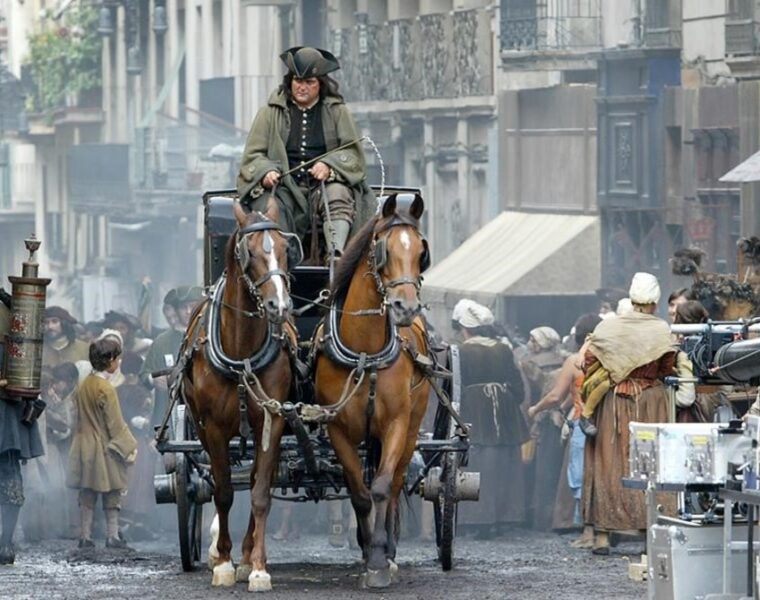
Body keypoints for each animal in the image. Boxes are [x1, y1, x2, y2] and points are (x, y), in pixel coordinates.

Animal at [183, 198, 302, 592]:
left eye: (283, 248)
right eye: (248, 252)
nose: (279, 306)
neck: (242, 351)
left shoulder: (272, 419)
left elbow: (260, 492)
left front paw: (259, 567)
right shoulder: (214, 427)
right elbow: (222, 491)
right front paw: (222, 560)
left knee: (252, 482)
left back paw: (248, 555)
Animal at [314, 195, 434, 588]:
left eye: (421, 252)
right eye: (384, 250)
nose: (405, 307)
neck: (365, 351)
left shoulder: (396, 423)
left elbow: (381, 488)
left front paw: (380, 559)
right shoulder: (337, 428)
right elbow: (359, 493)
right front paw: (368, 550)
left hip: (412, 424)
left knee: (395, 483)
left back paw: (390, 549)